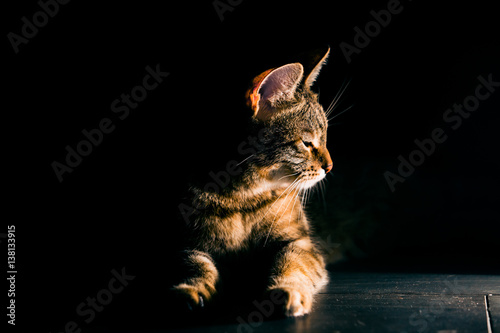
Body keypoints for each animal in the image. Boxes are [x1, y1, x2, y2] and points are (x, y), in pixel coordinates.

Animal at [174, 46, 334, 316]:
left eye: (324, 139)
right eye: (307, 142)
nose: (330, 167)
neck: (241, 197)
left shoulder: (299, 242)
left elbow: (291, 264)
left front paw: (286, 289)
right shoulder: (185, 243)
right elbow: (195, 265)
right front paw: (190, 290)